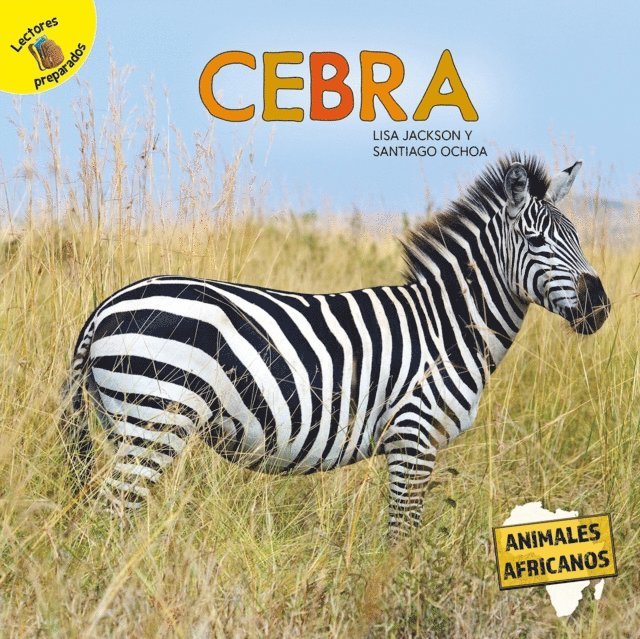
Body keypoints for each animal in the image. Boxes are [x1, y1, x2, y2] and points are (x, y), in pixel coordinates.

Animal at [62, 154, 610, 540]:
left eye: (578, 237)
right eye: (537, 242)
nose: (599, 306)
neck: (448, 327)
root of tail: (105, 305)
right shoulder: (413, 437)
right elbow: (402, 537)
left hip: (124, 423)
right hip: (155, 420)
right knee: (110, 516)